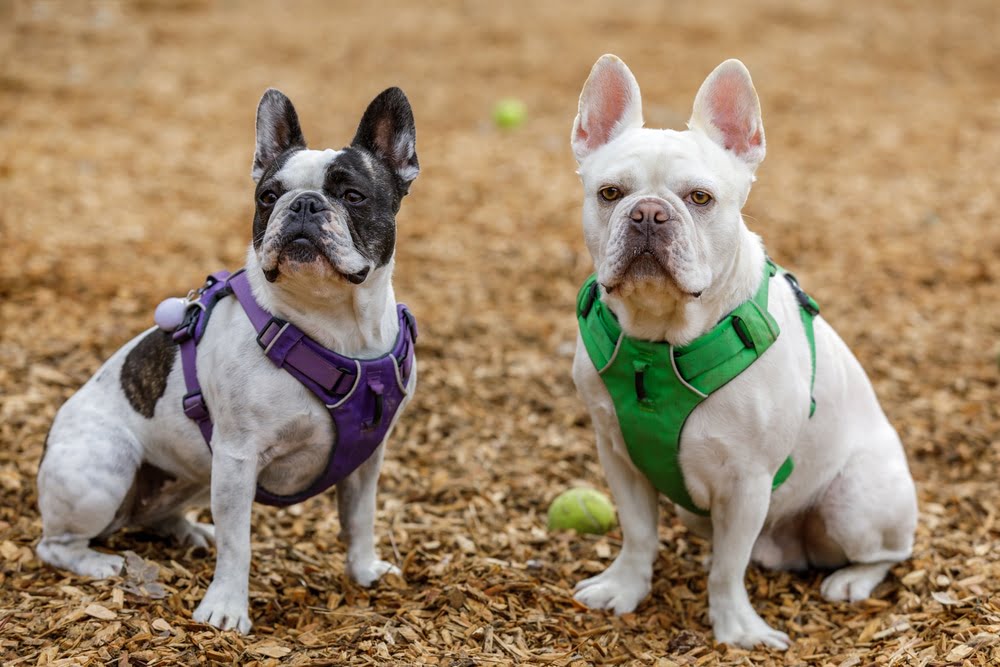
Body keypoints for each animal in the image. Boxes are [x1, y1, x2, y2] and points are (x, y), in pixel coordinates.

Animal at [37, 86, 420, 636]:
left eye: (352, 196)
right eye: (267, 197)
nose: (303, 204)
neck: (332, 325)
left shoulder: (366, 460)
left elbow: (360, 519)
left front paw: (363, 570)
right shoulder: (239, 457)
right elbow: (241, 544)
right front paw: (225, 609)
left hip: (195, 473)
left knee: (157, 514)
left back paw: (192, 531)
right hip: (104, 467)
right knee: (54, 545)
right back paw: (98, 562)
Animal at [568, 54, 916, 648]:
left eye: (700, 198)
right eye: (610, 193)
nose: (648, 214)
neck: (657, 346)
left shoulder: (747, 481)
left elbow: (729, 568)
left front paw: (736, 627)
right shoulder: (619, 455)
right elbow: (638, 534)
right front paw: (625, 588)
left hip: (855, 502)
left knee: (890, 553)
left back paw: (850, 580)